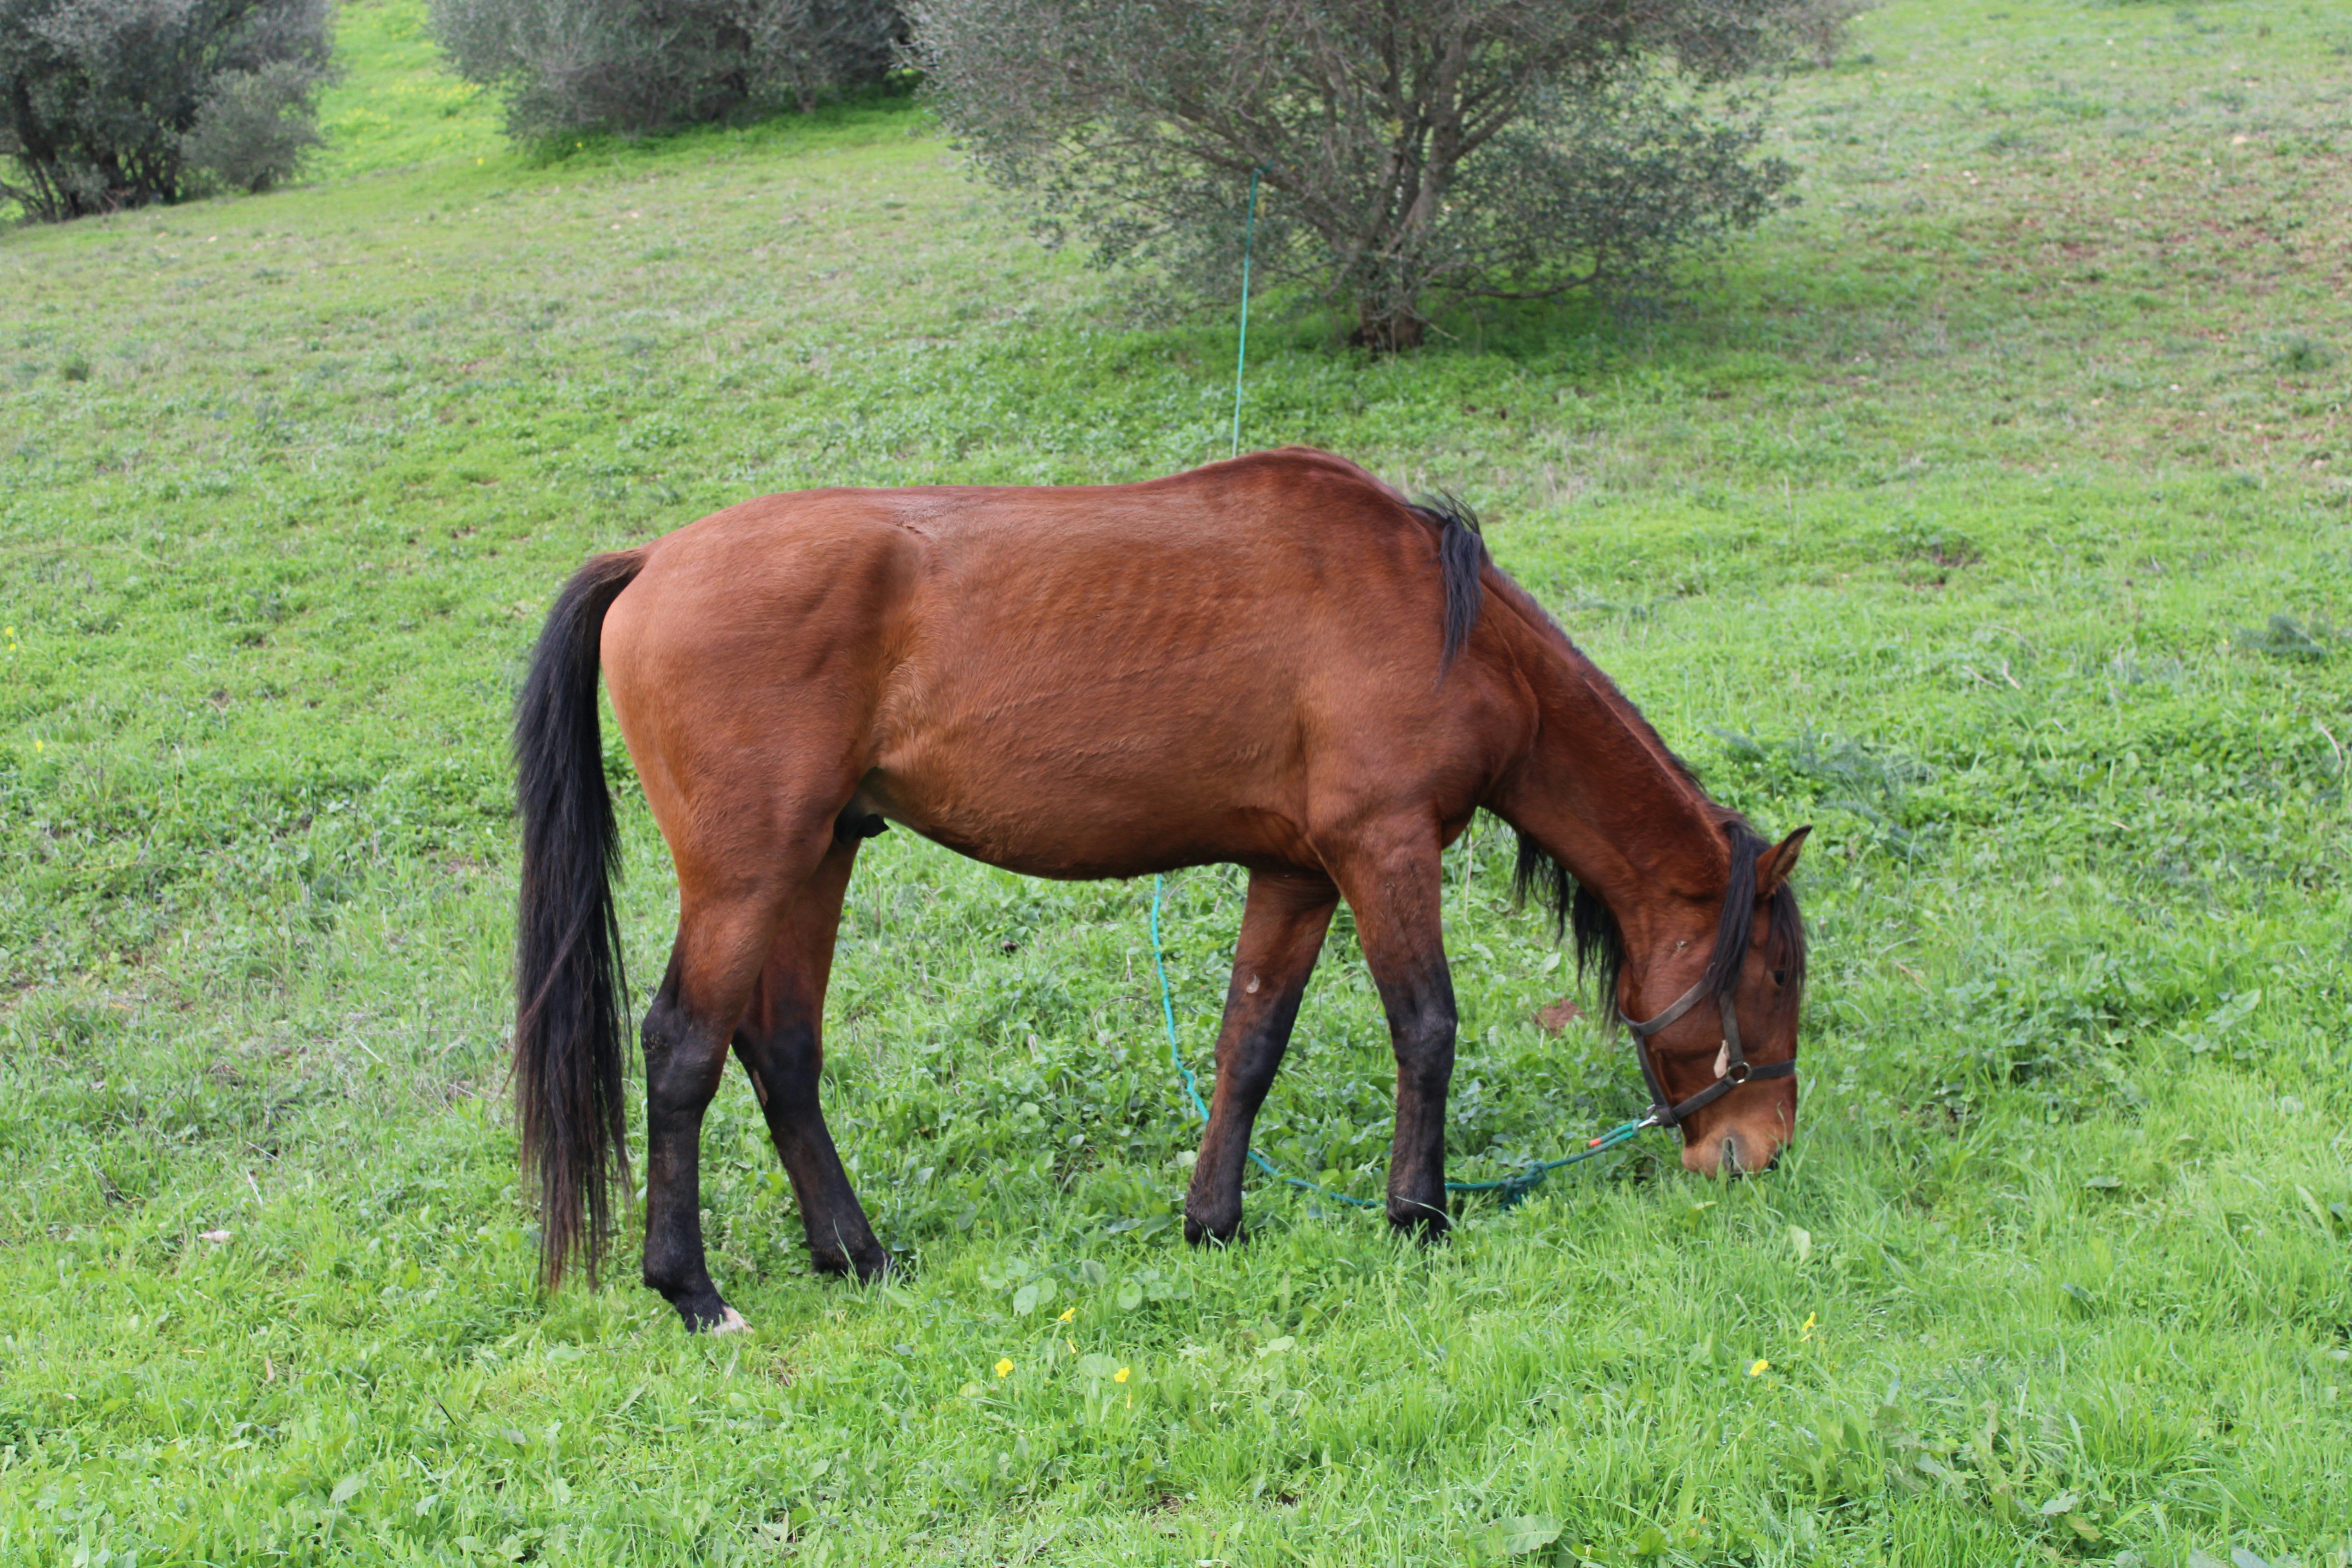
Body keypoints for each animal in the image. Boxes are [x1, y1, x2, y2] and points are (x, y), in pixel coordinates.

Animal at [513, 447, 1808, 1331]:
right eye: (1778, 974)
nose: (1761, 1150)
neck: (1442, 624)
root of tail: (653, 560)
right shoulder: (1383, 850)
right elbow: (1427, 1028)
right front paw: (1419, 1216)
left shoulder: (1297, 873)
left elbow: (1250, 1043)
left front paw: (1213, 1222)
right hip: (749, 871)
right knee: (684, 1046)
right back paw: (692, 1290)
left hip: (821, 854)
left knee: (781, 1048)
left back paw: (857, 1253)